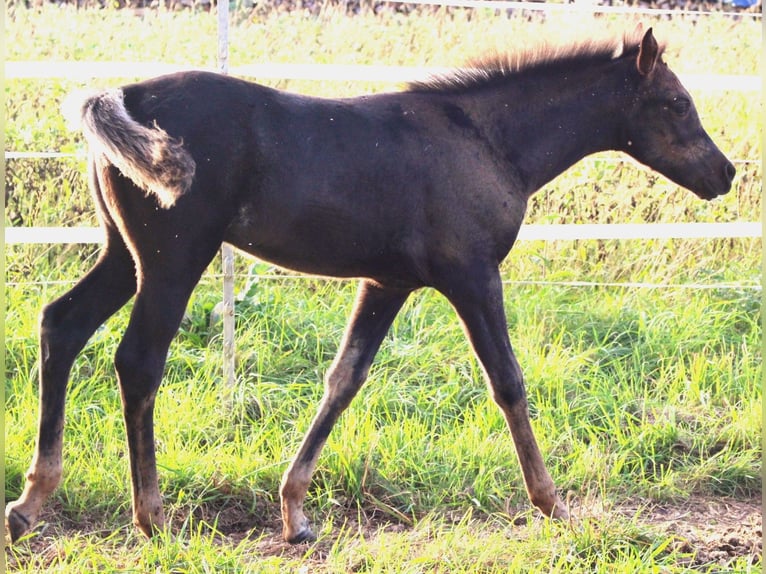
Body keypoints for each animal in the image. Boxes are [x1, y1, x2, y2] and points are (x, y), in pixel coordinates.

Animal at [7, 29, 736, 548]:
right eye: (676, 102)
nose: (725, 173)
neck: (486, 137)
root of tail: (124, 94)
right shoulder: (472, 274)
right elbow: (507, 381)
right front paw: (553, 503)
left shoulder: (388, 282)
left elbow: (344, 379)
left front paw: (295, 514)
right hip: (174, 258)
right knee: (138, 361)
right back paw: (153, 519)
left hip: (124, 255)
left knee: (62, 324)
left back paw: (31, 502)